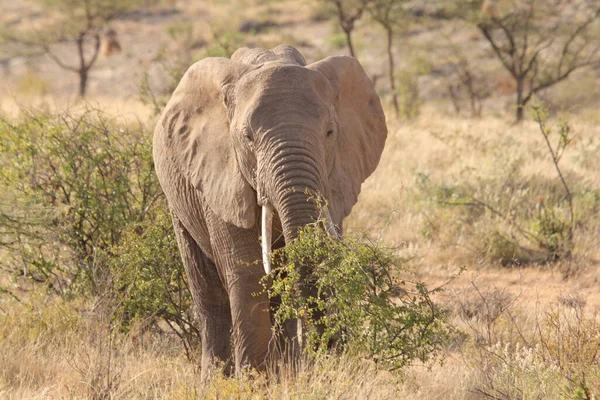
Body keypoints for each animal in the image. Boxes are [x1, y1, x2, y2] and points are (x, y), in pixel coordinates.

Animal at [152, 45, 386, 376]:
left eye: (330, 132)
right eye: (248, 137)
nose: (329, 353)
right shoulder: (221, 178)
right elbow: (247, 272)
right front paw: (252, 380)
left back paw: (285, 370)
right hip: (177, 200)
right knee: (209, 295)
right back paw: (216, 379)